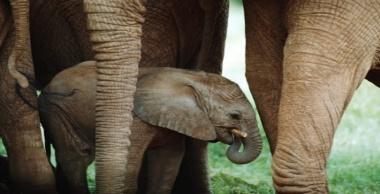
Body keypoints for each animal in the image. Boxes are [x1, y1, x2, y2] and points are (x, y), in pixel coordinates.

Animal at [38, 61, 262, 194]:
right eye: (235, 116)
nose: (236, 137)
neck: (194, 79)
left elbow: (168, 161)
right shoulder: (133, 118)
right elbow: (129, 162)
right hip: (55, 110)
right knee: (75, 158)